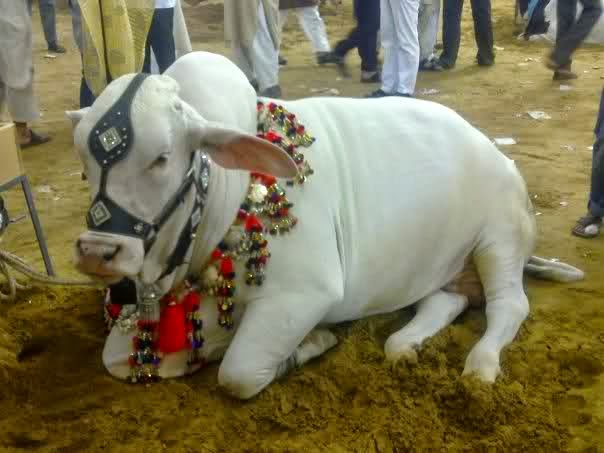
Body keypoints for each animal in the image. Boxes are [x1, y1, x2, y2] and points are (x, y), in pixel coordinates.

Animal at [68, 52, 584, 400]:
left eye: (161, 158)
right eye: (83, 162)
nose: (97, 251)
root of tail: (492, 147)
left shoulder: (305, 293)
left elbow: (239, 372)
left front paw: (312, 341)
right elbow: (116, 360)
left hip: (500, 238)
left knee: (508, 306)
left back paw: (480, 367)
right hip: (446, 263)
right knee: (444, 301)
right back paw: (405, 345)